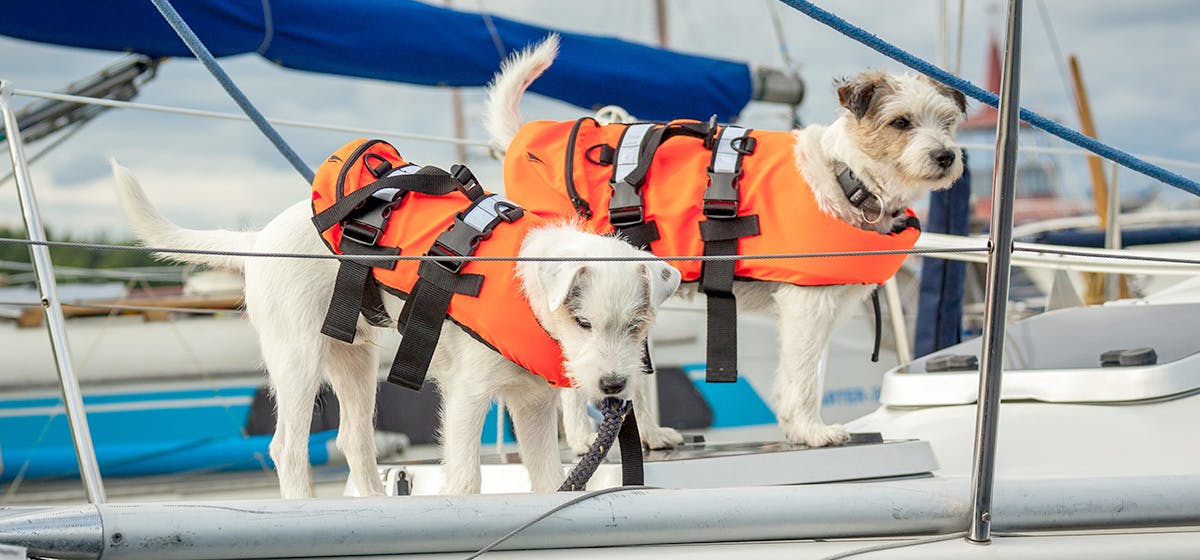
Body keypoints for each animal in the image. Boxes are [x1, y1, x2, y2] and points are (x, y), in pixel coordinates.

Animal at [112, 160, 681, 496]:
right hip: (297, 360)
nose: (613, 386)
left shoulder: (533, 404)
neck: (526, 288)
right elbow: (466, 477)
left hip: (354, 360)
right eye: (582, 322)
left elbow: (548, 480)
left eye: (637, 326)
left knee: (353, 439)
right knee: (288, 448)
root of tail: (258, 242)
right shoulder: (468, 396)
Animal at [484, 36, 964, 450]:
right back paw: (584, 438)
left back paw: (650, 436)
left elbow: (798, 374)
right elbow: (804, 376)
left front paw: (797, 428)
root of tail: (521, 143)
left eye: (948, 122)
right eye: (901, 122)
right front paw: (812, 430)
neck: (845, 175)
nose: (946, 156)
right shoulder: (806, 306)